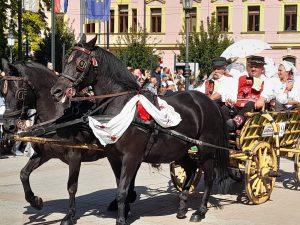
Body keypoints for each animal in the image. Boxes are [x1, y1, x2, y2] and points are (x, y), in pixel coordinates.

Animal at [0, 59, 138, 225]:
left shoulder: (74, 155)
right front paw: (35, 201)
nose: (7, 126)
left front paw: (69, 216)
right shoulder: (44, 154)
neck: (58, 116)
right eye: (3, 92)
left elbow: (71, 186)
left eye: (19, 93)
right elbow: (23, 174)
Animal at [51, 36, 230, 224]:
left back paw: (200, 211)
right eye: (65, 60)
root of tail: (209, 102)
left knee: (209, 176)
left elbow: (122, 190)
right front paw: (125, 211)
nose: (56, 91)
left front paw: (121, 219)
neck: (121, 105)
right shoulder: (114, 157)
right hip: (180, 149)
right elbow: (122, 187)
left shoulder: (131, 156)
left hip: (206, 148)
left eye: (81, 63)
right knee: (191, 168)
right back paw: (182, 207)